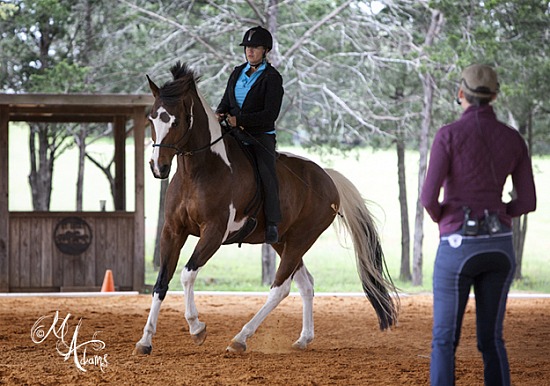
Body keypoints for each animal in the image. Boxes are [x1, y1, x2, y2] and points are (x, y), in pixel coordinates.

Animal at [134, 61, 402, 354]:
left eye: (177, 120)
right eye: (151, 119)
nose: (158, 167)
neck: (199, 172)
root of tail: (328, 178)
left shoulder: (213, 233)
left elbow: (186, 275)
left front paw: (196, 327)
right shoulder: (173, 231)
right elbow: (161, 282)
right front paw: (145, 340)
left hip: (300, 239)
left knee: (280, 288)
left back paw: (240, 338)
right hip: (282, 241)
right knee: (305, 284)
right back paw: (303, 339)